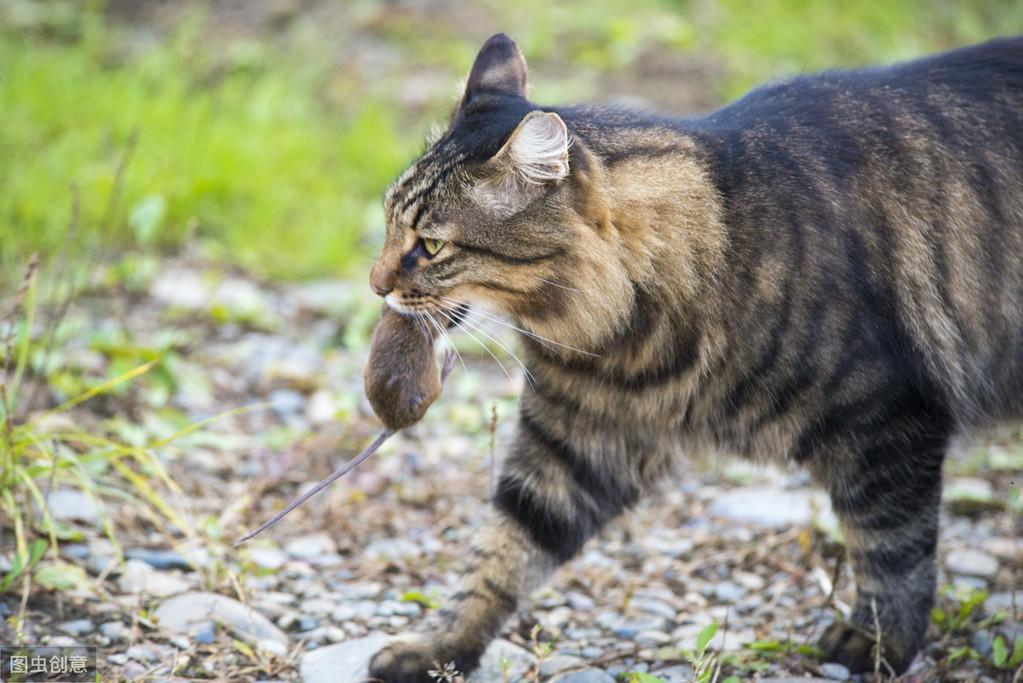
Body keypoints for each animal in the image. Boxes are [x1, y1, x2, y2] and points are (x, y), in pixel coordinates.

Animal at [364, 33, 1018, 683]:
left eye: (431, 246)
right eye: (389, 224)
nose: (375, 285)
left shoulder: (887, 425)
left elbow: (890, 550)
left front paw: (878, 642)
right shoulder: (575, 443)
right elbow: (500, 557)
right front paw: (439, 646)